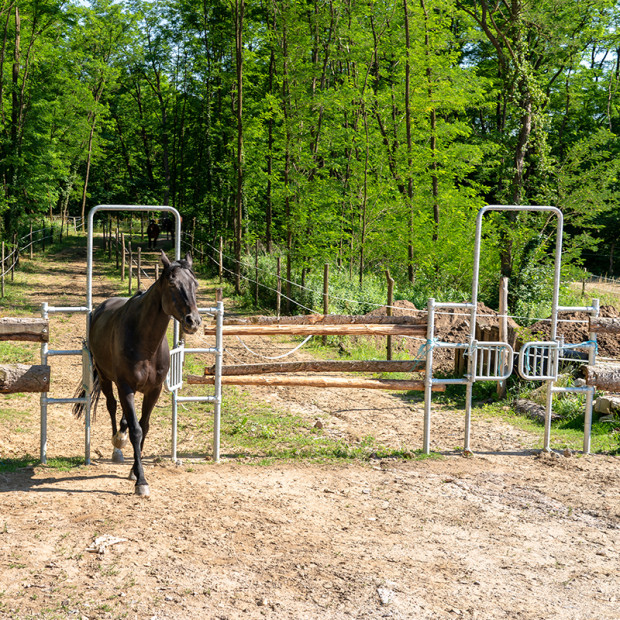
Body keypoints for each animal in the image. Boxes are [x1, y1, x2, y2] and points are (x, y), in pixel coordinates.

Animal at [76, 249, 200, 496]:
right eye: (172, 283)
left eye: (195, 284)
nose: (193, 321)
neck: (146, 344)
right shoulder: (126, 387)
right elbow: (135, 430)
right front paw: (141, 480)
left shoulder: (154, 391)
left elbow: (144, 426)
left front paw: (134, 471)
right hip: (105, 377)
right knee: (112, 406)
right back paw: (117, 444)